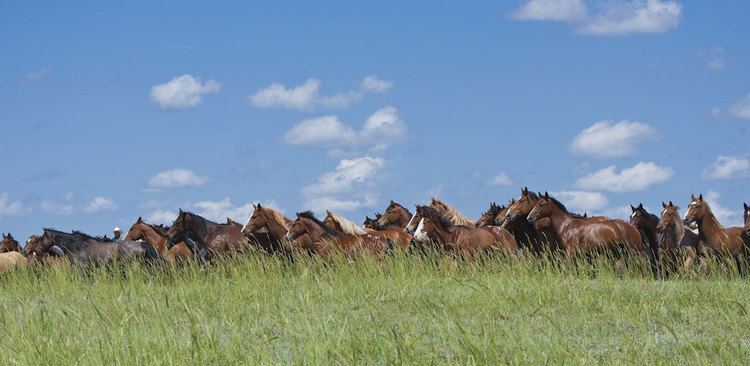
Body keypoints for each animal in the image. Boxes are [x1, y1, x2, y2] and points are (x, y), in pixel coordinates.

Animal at [524, 193, 656, 276]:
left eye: (542, 205)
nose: (529, 218)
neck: (567, 226)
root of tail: (633, 227)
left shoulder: (570, 251)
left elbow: (566, 267)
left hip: (635, 250)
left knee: (643, 263)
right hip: (617, 252)